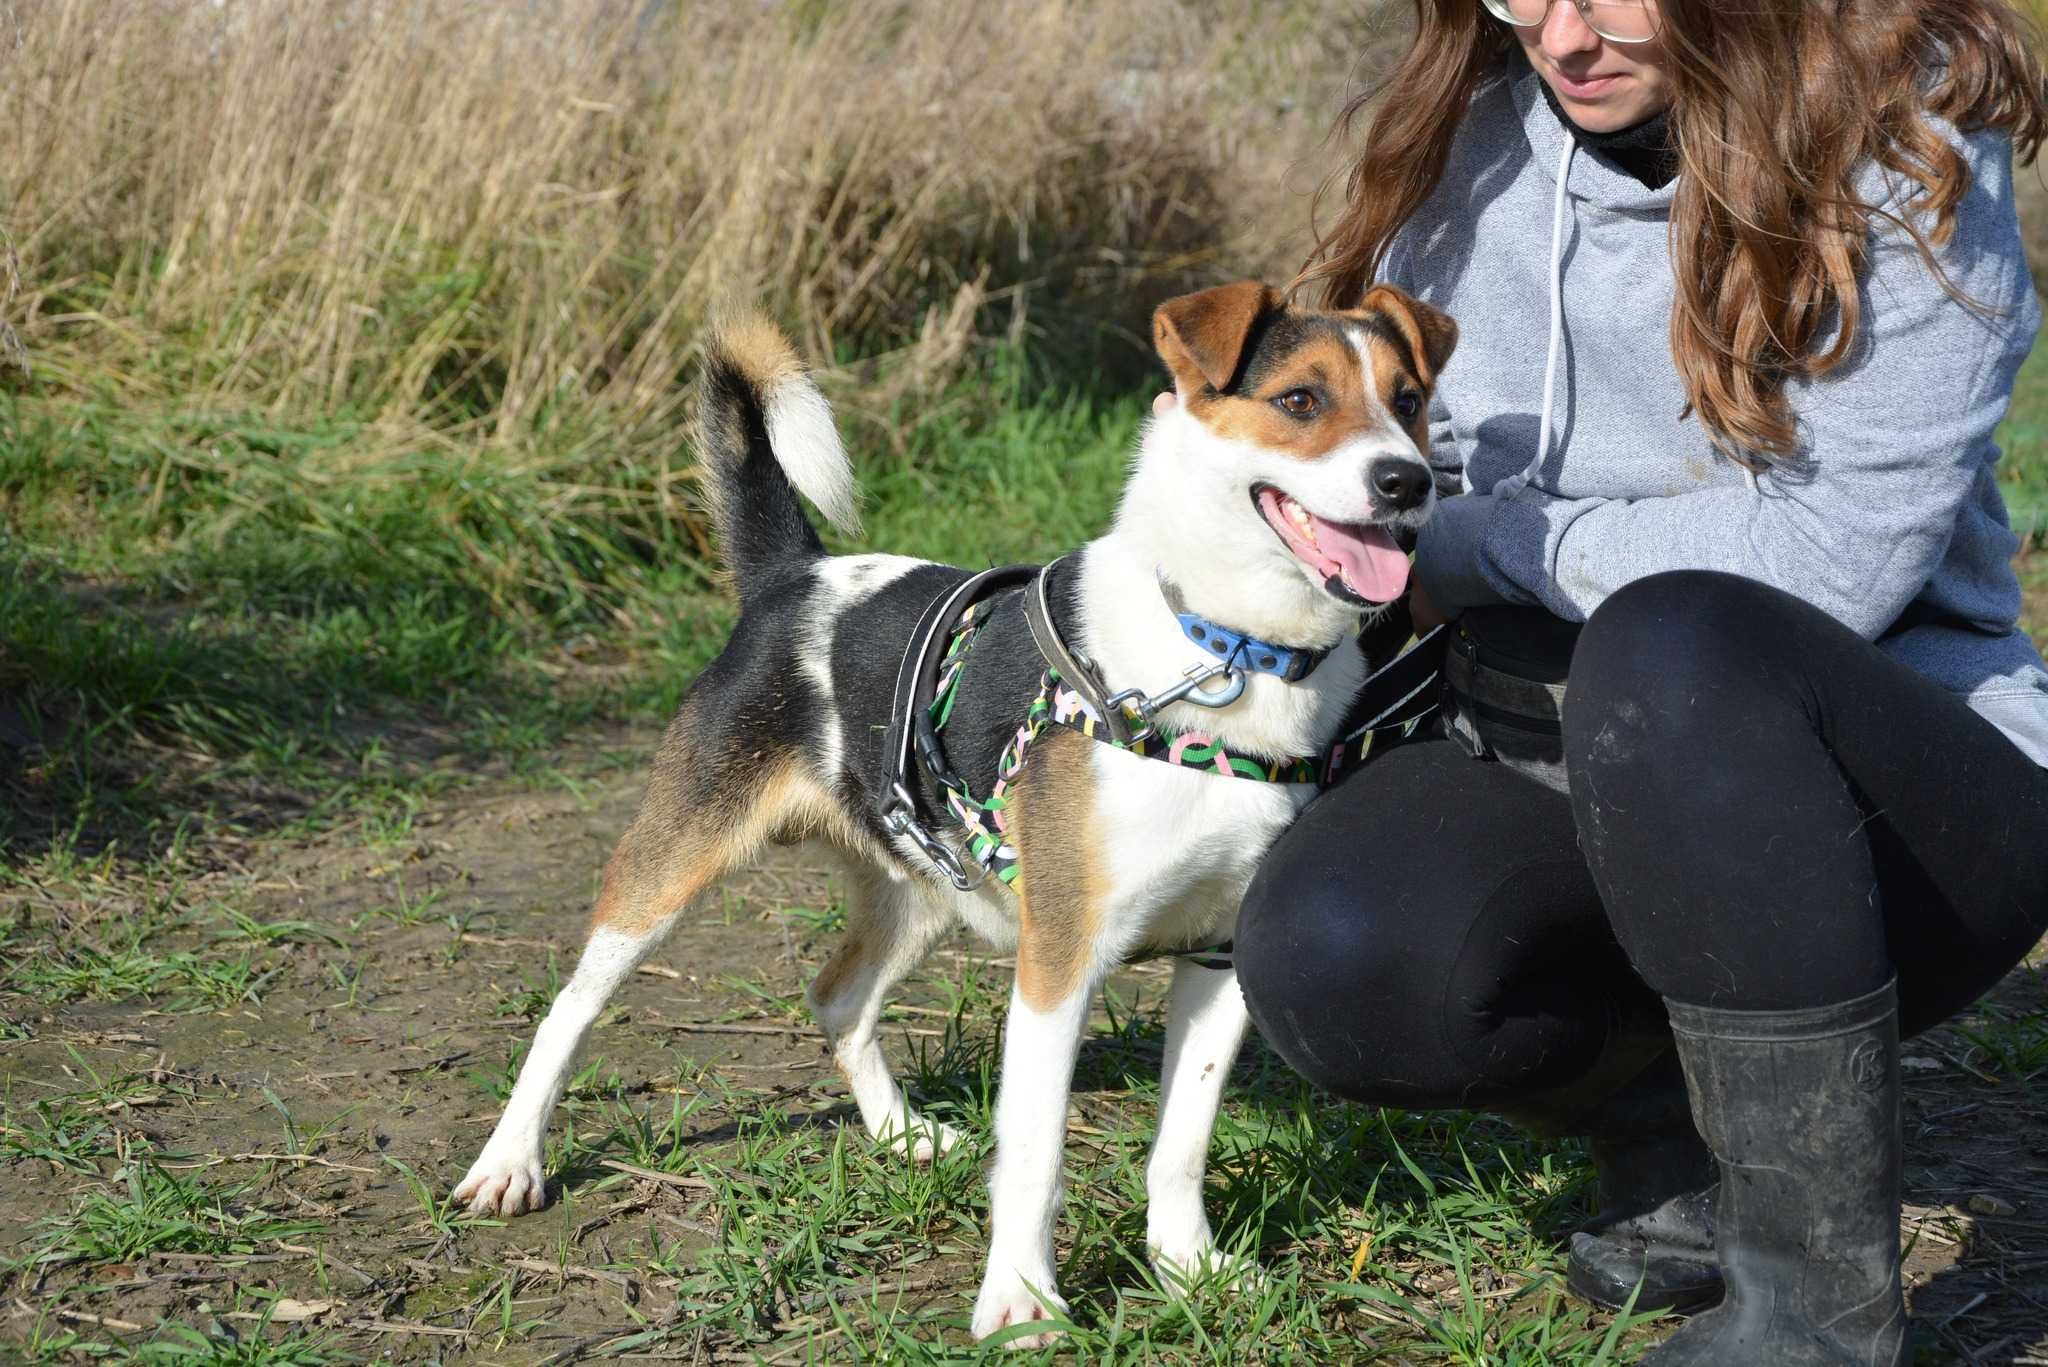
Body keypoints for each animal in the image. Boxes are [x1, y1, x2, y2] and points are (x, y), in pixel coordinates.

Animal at [454, 280, 1449, 1344]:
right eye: (1301, 400)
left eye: (1410, 400)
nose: (1408, 481)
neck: (1223, 654)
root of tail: (794, 575)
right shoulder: (1060, 960)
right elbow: (1037, 1155)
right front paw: (1023, 1301)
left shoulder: (1220, 958)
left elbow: (1183, 1143)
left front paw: (1189, 1270)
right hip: (675, 861)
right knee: (571, 1008)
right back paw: (510, 1161)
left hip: (925, 883)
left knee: (837, 995)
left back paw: (899, 1133)